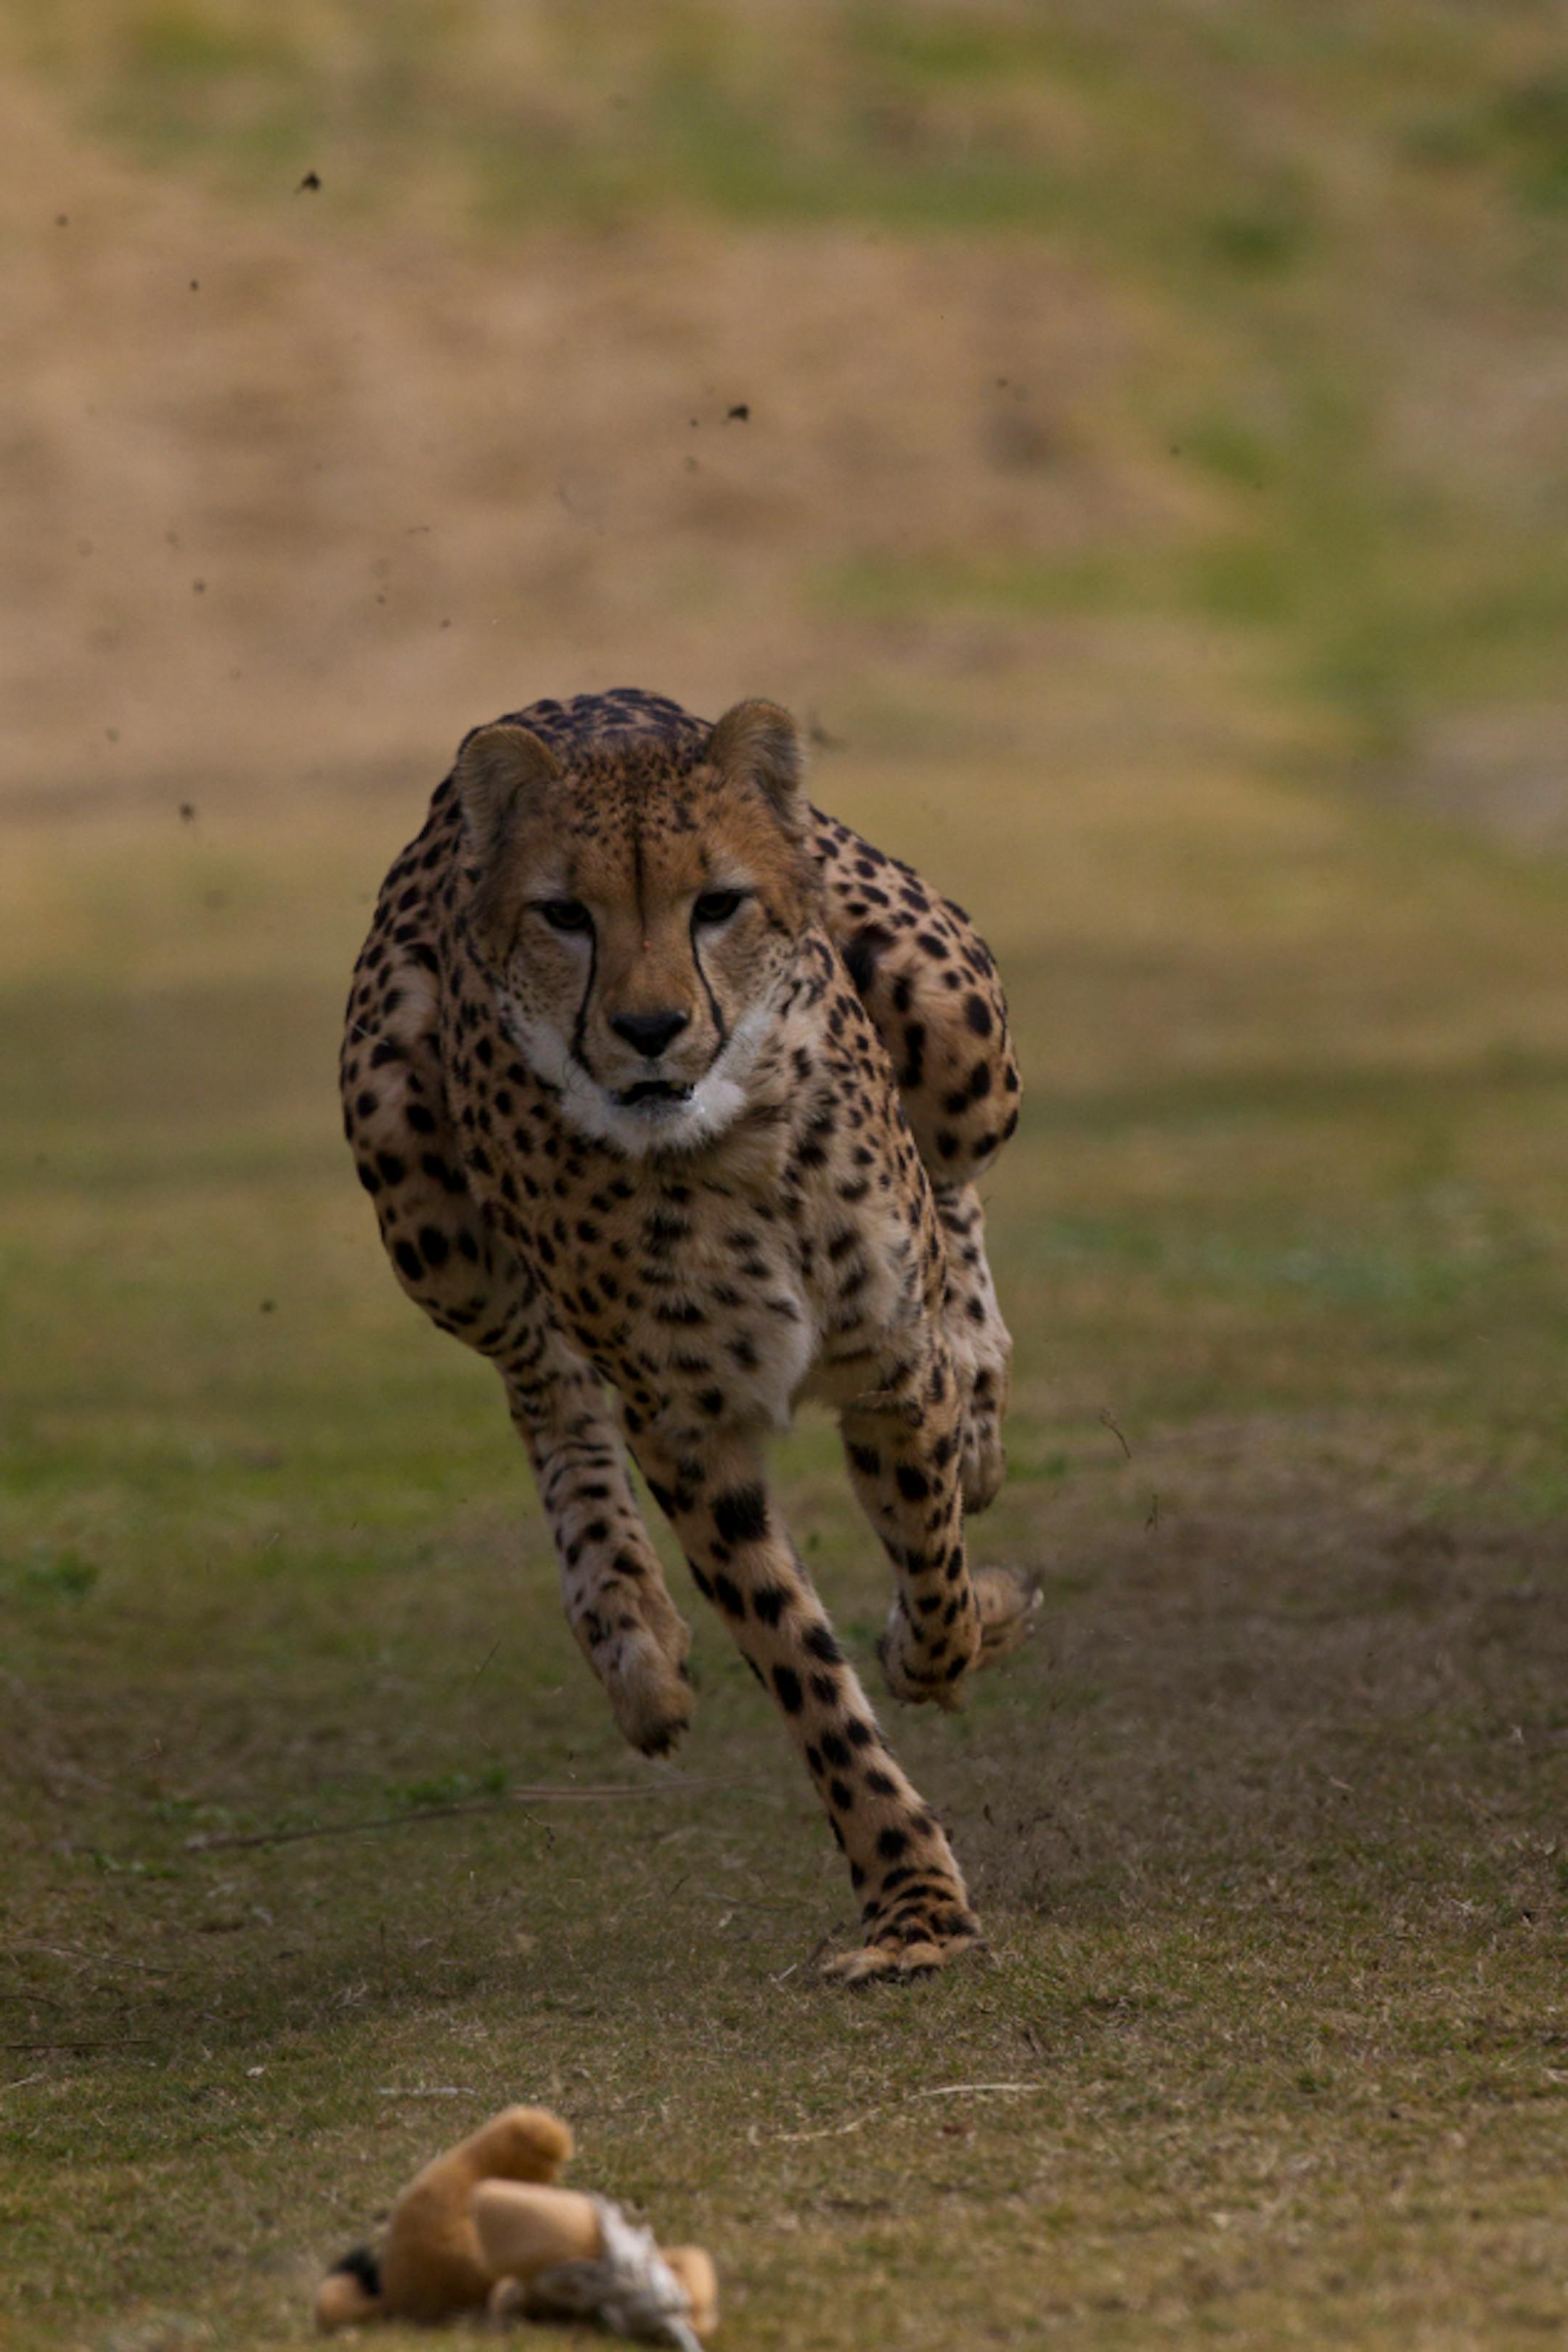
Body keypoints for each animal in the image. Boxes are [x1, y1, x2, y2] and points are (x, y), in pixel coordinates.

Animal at [340, 687, 1028, 1982]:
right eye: (566, 914)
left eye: (717, 904)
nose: (651, 1027)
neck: (725, 1150)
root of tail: (572, 699)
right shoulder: (688, 1430)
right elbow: (805, 1670)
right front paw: (911, 1903)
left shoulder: (884, 1371)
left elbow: (933, 1565)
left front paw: (952, 1631)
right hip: (412, 1174)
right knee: (541, 1378)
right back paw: (630, 1637)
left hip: (961, 1027)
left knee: (955, 1183)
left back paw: (977, 1384)